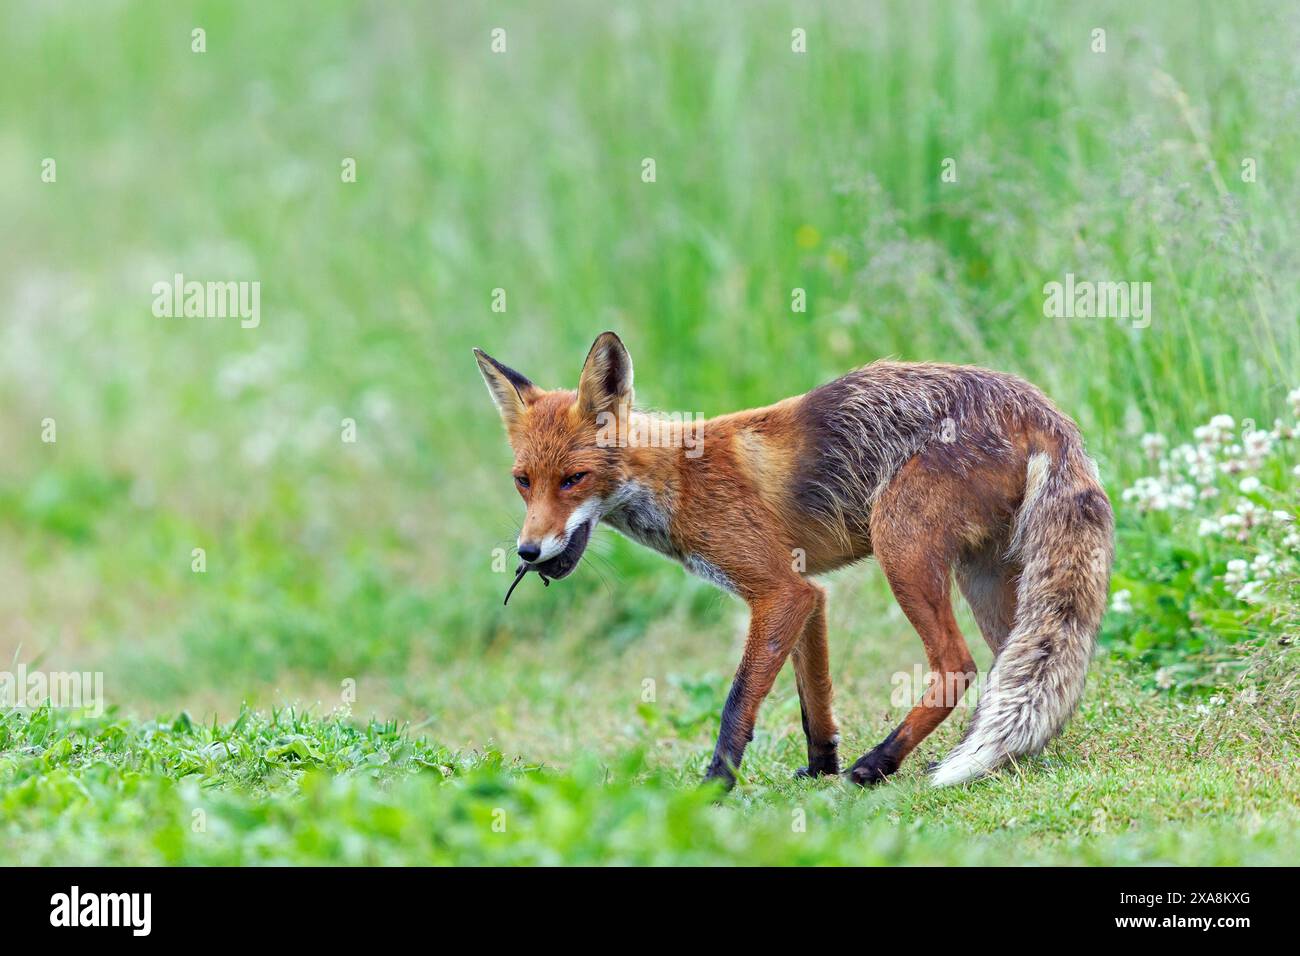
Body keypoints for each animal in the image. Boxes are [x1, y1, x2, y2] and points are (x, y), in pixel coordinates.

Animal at [473, 332, 1112, 790]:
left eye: (573, 479)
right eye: (523, 482)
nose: (528, 551)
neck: (678, 479)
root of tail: (1039, 407)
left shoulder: (778, 591)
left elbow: (738, 703)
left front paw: (715, 785)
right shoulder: (808, 592)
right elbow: (815, 699)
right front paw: (820, 765)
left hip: (900, 544)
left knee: (957, 666)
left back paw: (879, 764)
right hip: (988, 575)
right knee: (1021, 674)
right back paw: (1003, 755)